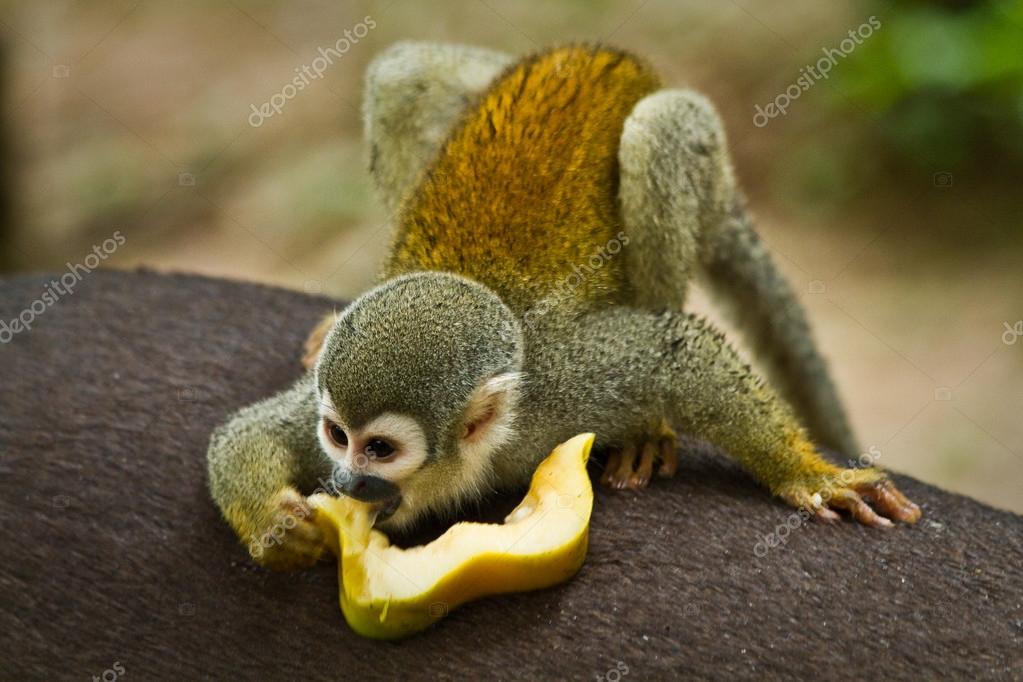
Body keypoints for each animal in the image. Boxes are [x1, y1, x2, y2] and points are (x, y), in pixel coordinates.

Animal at [207, 42, 920, 571]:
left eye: (379, 450)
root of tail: (602, 54)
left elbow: (678, 353)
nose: (347, 484)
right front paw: (274, 526)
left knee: (660, 134)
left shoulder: (566, 388)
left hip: (701, 159)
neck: (485, 450)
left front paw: (809, 473)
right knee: (402, 77)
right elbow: (248, 431)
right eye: (337, 437)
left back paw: (650, 431)